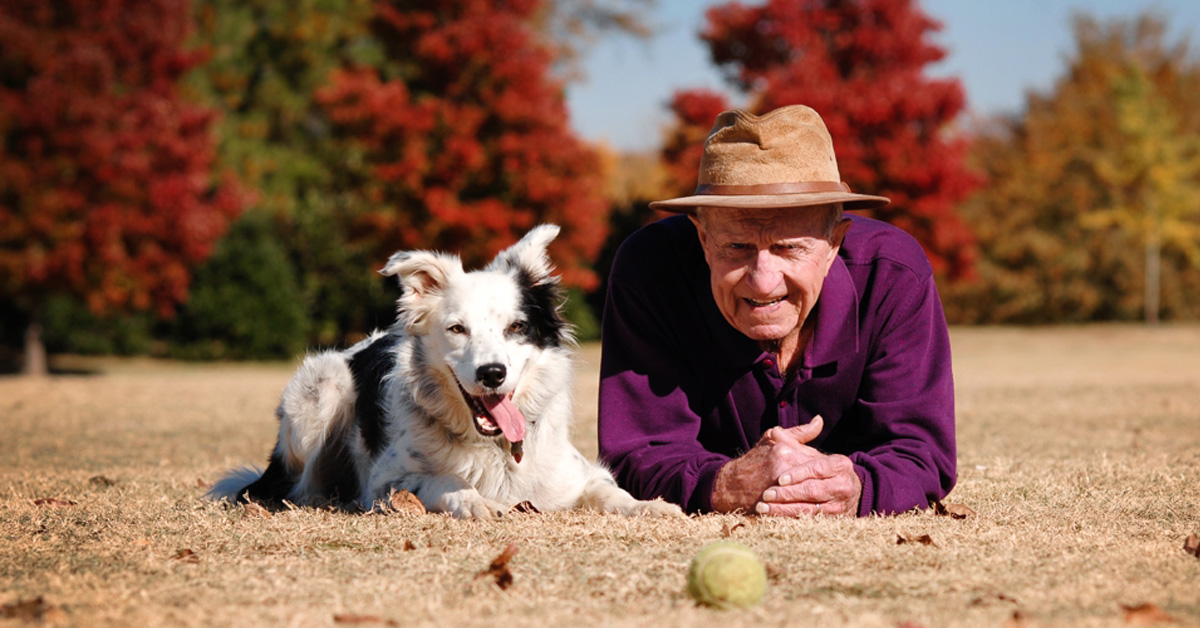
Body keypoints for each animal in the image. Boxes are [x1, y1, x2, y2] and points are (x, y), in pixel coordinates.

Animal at [210, 225, 681, 521]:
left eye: (517, 328)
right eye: (457, 329)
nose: (492, 373)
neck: (494, 449)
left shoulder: (577, 475)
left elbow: (610, 491)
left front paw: (648, 505)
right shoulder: (387, 481)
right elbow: (441, 481)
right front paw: (474, 501)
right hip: (321, 392)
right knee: (299, 484)